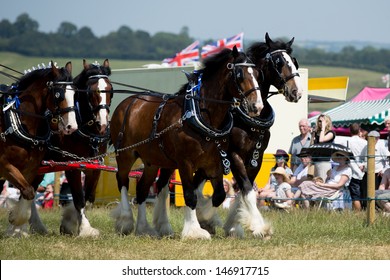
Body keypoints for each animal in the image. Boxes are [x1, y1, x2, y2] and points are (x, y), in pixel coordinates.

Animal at [0, 61, 77, 236]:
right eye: (59, 95)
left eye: (75, 93)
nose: (72, 126)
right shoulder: (4, 165)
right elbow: (28, 192)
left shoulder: (31, 168)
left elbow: (28, 193)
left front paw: (16, 220)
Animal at [29, 59, 112, 236]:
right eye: (91, 91)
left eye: (110, 89)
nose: (102, 124)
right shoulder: (72, 165)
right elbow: (79, 198)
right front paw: (84, 228)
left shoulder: (94, 166)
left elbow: (87, 196)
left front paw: (71, 222)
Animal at [111, 46, 264, 238]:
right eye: (240, 75)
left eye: (257, 74)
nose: (257, 106)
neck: (201, 115)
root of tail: (127, 102)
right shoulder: (185, 163)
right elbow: (190, 196)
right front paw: (194, 230)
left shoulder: (214, 163)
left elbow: (219, 196)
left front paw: (207, 219)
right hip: (125, 154)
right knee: (122, 181)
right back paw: (125, 221)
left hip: (152, 162)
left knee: (142, 189)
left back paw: (143, 228)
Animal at [197, 32, 304, 238]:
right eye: (278, 62)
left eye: (294, 61)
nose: (297, 91)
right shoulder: (233, 155)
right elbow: (247, 189)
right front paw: (259, 226)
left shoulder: (256, 157)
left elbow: (243, 192)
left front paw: (233, 226)